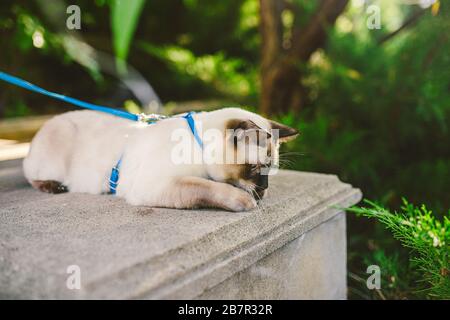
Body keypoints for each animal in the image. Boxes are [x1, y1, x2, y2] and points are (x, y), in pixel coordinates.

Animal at [24, 107, 298, 211]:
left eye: (270, 170)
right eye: (256, 169)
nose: (263, 189)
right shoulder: (157, 184)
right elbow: (206, 186)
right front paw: (245, 201)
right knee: (32, 177)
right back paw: (53, 187)